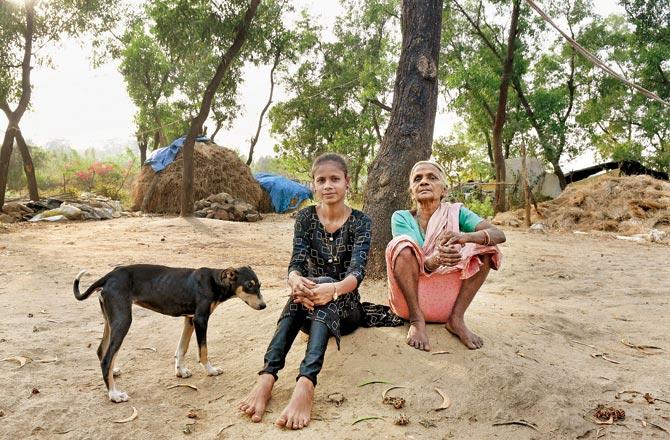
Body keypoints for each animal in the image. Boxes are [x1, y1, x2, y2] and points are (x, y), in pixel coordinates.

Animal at [71, 264, 266, 402]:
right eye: (249, 286)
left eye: (259, 285)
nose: (264, 306)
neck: (214, 281)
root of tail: (109, 276)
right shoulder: (201, 320)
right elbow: (203, 350)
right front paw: (210, 370)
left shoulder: (189, 319)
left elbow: (182, 348)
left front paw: (181, 370)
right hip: (123, 321)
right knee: (106, 358)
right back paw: (114, 394)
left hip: (110, 321)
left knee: (101, 351)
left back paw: (114, 371)